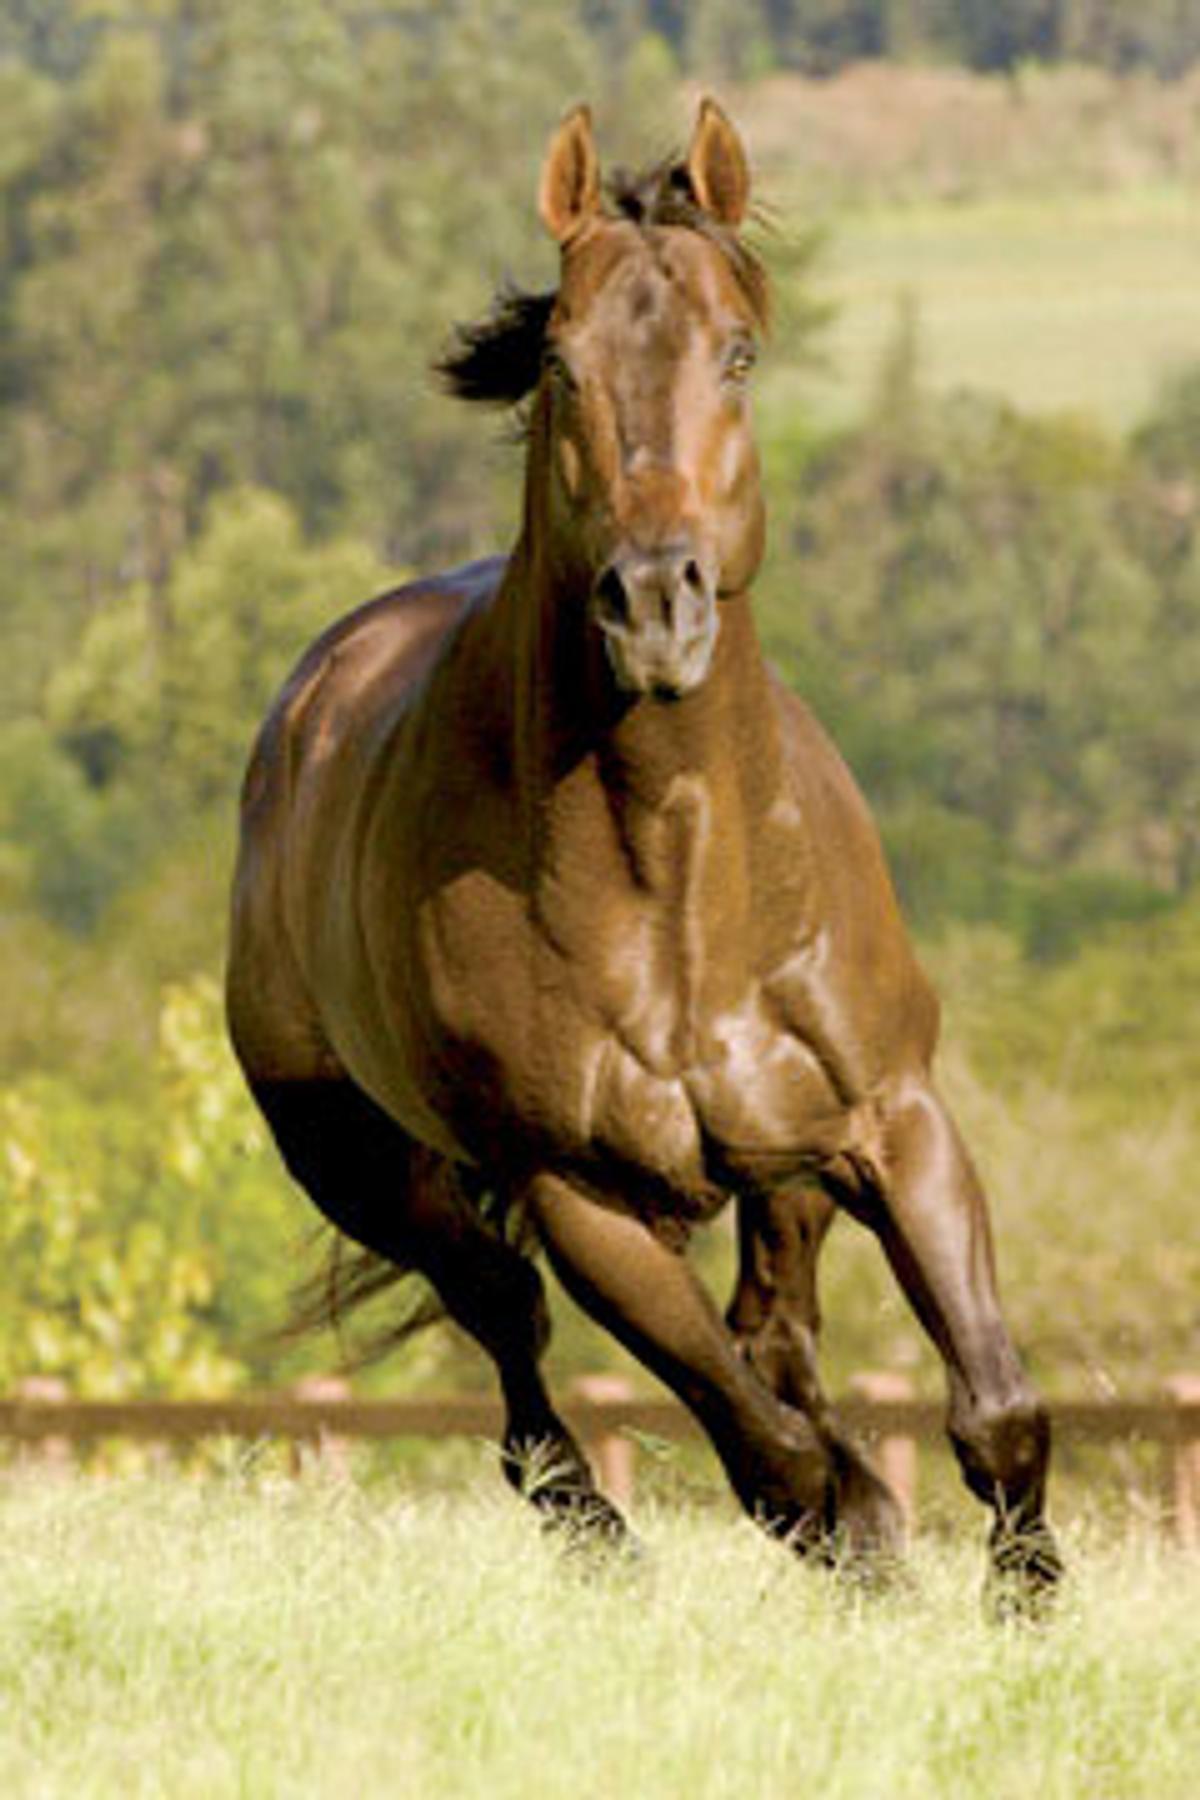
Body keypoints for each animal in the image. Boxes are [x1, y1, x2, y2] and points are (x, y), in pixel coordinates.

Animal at [227, 98, 1061, 1606]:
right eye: (561, 359)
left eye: (737, 354)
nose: (656, 606)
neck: (681, 889)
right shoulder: (582, 1200)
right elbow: (764, 1449)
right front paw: (863, 1543)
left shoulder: (893, 1122)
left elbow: (992, 1411)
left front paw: (1021, 1602)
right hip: (365, 1167)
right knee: (516, 1338)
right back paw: (602, 1532)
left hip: (783, 1176)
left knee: (771, 1329)